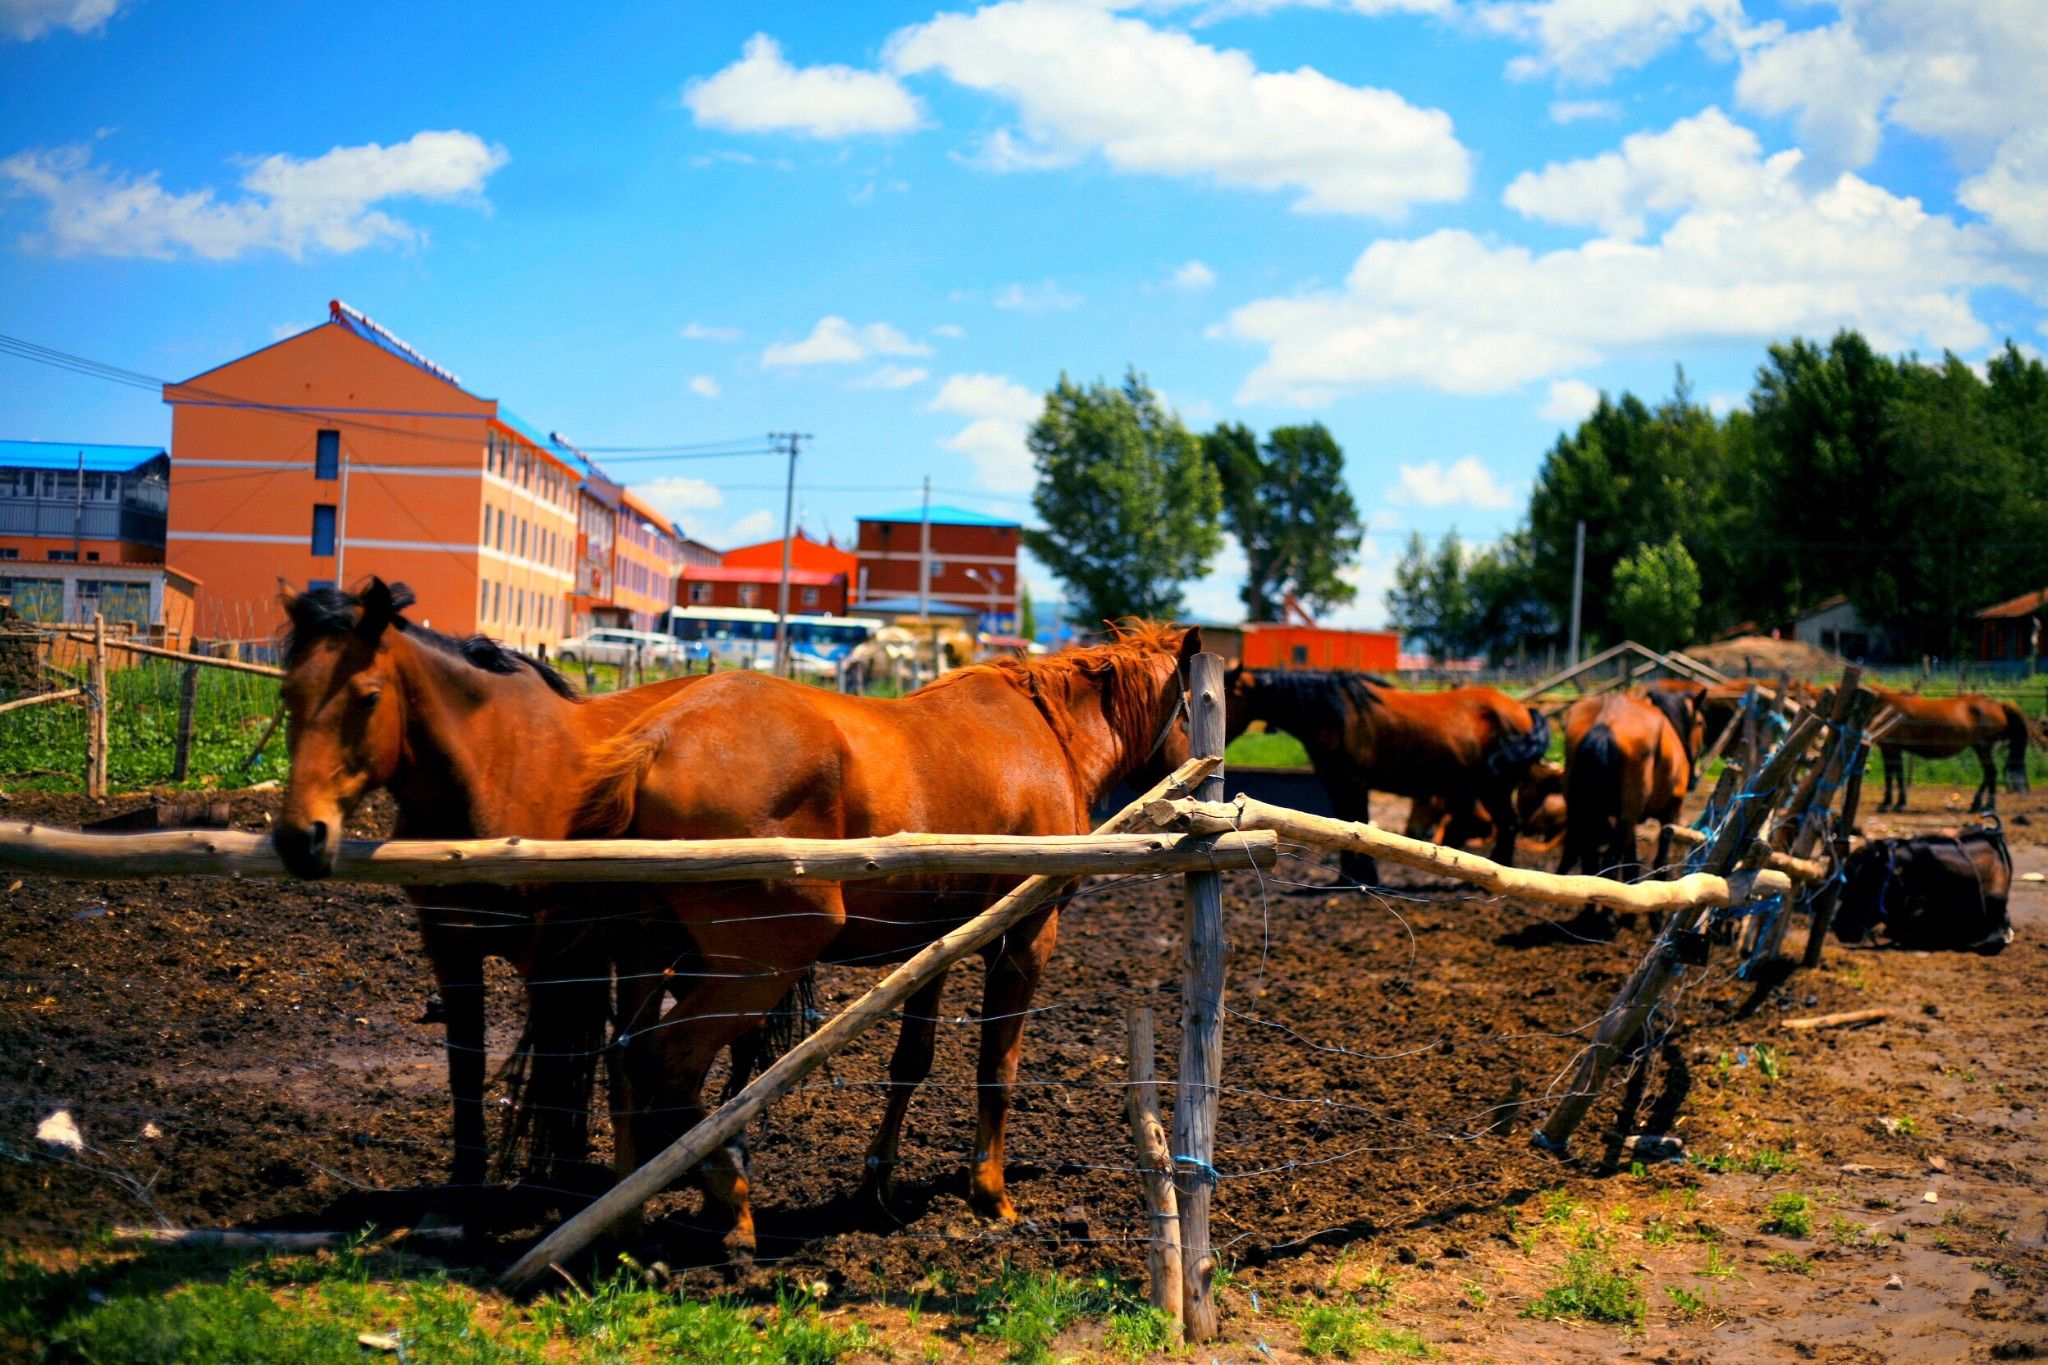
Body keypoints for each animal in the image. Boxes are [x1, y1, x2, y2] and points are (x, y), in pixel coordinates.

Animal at [272, 577, 716, 1203]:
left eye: (368, 697)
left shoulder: (554, 959)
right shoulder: (451, 947)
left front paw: (563, 1175)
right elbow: (468, 1063)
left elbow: (561, 1061)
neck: (493, 775)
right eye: (287, 695)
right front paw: (466, 1181)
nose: (299, 838)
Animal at [569, 618, 1204, 1260]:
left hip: (653, 952)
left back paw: (626, 1222)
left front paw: (878, 1181)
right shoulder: (1025, 941)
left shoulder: (936, 947)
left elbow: (911, 1062)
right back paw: (731, 1201)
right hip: (764, 961)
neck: (1047, 734)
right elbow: (997, 1069)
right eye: (1193, 709)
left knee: (624, 1061)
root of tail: (654, 743)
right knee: (668, 1060)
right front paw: (990, 1194)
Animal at [1212, 671, 1548, 888]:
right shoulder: (1336, 783)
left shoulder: (1353, 783)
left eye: (1227, 694)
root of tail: (1523, 710)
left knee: (1508, 825)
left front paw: (1363, 878)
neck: (1335, 715)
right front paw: (1347, 879)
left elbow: (1356, 823)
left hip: (1494, 788)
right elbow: (1343, 825)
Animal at [1556, 699, 1687, 879]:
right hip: (1626, 817)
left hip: (1582, 811)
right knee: (1609, 863)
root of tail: (1605, 722)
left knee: (1586, 858)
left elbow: (1631, 864)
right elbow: (1661, 863)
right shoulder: (1672, 810)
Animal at [1875, 683, 2031, 810]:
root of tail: (1999, 706)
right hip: (1981, 749)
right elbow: (1897, 775)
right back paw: (1978, 804)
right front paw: (1897, 802)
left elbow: (1891, 776)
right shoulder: (1894, 749)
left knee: (1991, 772)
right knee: (1989, 773)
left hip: (1983, 748)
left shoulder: (1890, 748)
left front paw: (1889, 804)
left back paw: (1988, 805)